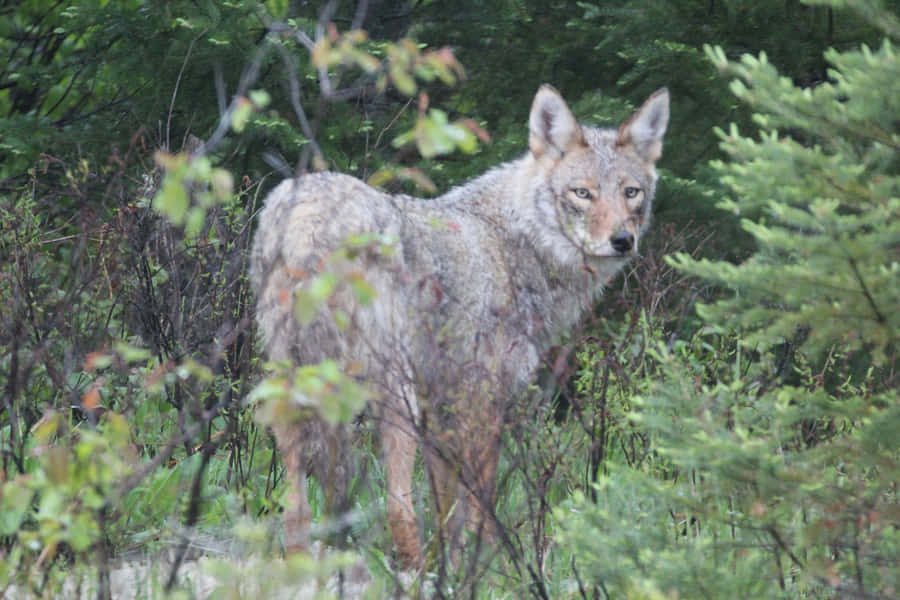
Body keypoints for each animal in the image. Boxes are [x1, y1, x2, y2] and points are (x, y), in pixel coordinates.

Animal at [250, 84, 669, 568]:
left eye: (631, 192)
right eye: (582, 193)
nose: (622, 241)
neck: (514, 244)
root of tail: (306, 219)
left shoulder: (442, 408)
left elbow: (447, 509)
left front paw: (450, 563)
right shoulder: (481, 401)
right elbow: (479, 506)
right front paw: (485, 567)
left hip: (297, 388)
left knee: (297, 506)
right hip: (391, 393)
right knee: (396, 503)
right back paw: (413, 572)